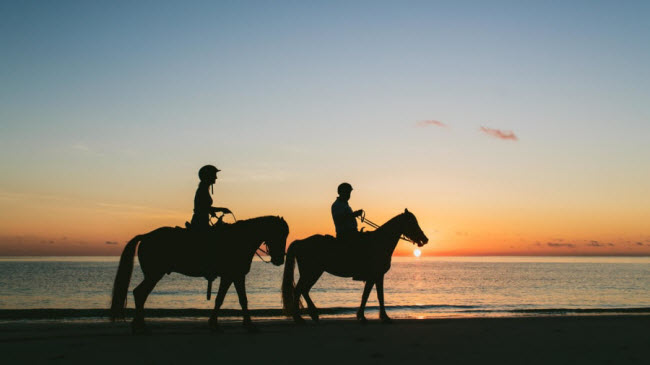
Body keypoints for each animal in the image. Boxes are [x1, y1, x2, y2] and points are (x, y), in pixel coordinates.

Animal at [110, 216, 288, 332]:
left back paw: (138, 324)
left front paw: (232, 323)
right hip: (154, 275)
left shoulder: (234, 276)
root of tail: (146, 236)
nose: (280, 259)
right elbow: (227, 299)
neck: (240, 239)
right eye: (280, 234)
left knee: (139, 293)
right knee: (140, 293)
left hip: (152, 275)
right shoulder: (232, 276)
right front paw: (243, 324)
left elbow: (236, 299)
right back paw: (140, 324)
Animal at [282, 209, 426, 322]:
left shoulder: (376, 276)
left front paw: (371, 316)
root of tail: (300, 242)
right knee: (299, 290)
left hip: (313, 272)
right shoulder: (375, 275)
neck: (380, 242)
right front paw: (374, 316)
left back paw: (313, 315)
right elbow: (372, 295)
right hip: (312, 272)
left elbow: (373, 295)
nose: (425, 239)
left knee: (304, 290)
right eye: (412, 222)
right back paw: (299, 318)